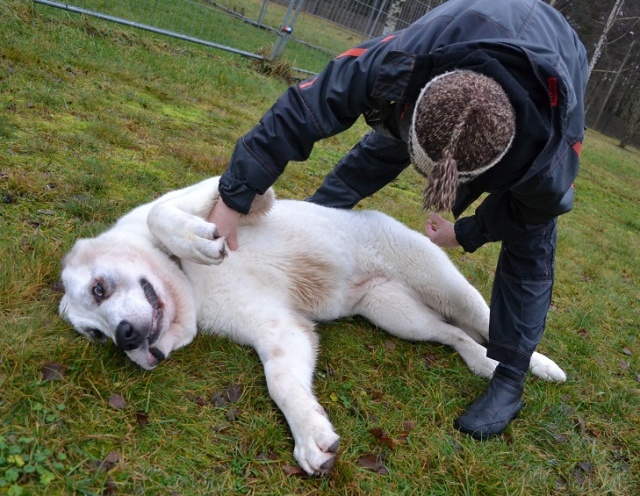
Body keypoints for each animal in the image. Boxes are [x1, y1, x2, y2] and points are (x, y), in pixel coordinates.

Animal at [59, 176, 566, 475]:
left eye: (99, 289)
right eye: (95, 335)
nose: (123, 337)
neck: (188, 279)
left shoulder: (223, 194)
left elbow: (160, 212)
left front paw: (193, 238)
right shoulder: (280, 331)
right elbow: (283, 385)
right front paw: (310, 435)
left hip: (442, 284)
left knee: (485, 321)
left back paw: (540, 365)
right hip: (397, 315)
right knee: (455, 334)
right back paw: (482, 363)